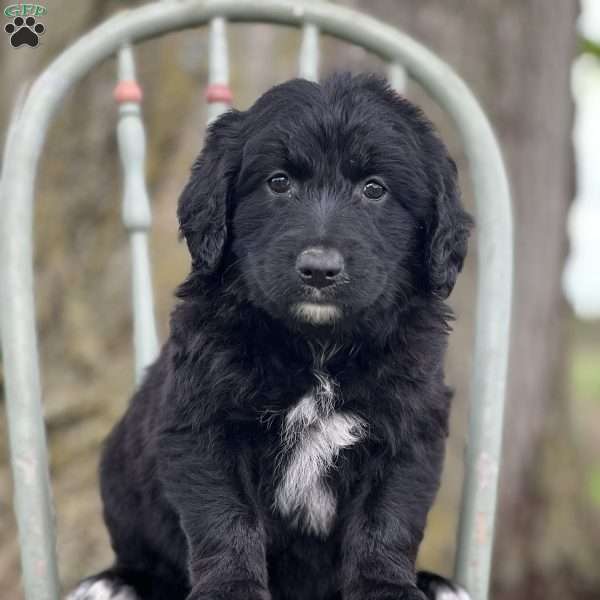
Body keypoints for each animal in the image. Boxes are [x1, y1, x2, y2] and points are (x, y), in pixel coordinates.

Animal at [69, 74, 474, 600]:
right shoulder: (204, 428)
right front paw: (231, 591)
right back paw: (116, 581)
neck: (318, 348)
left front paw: (386, 588)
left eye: (375, 189)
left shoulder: (406, 434)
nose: (319, 270)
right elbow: (227, 520)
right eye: (279, 182)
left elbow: (385, 520)